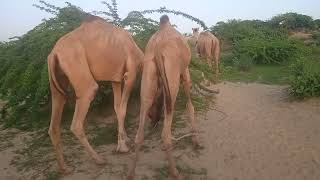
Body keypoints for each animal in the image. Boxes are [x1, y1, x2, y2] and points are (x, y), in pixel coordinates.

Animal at [47, 15, 142, 173]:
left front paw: (124, 139)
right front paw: (122, 147)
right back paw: (98, 159)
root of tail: (54, 53)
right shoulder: (130, 74)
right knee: (77, 122)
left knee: (54, 124)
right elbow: (123, 109)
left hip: (57, 84)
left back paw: (64, 168)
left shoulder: (115, 78)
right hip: (81, 76)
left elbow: (117, 108)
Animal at [127, 14, 198, 180]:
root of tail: (158, 48)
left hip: (147, 78)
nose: (153, 120)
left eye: (152, 113)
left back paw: (130, 174)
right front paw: (195, 141)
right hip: (173, 79)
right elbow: (189, 106)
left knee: (139, 135)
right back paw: (175, 172)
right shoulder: (184, 72)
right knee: (166, 135)